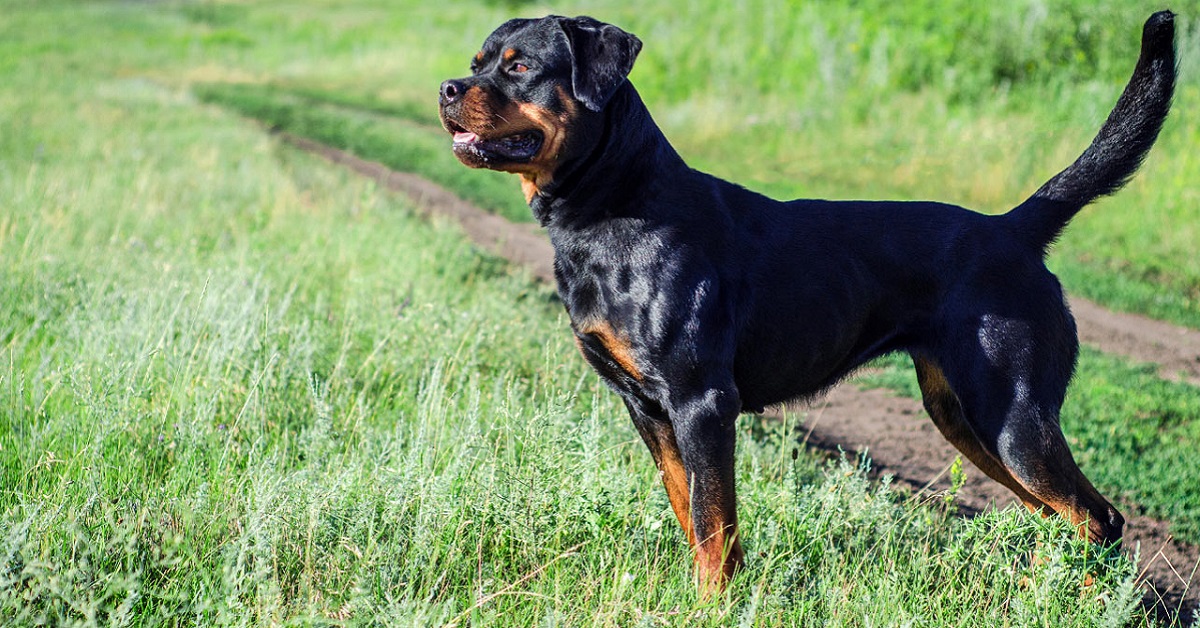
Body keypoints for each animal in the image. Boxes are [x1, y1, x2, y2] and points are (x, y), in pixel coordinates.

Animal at [436, 9, 1176, 593]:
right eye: (477, 64)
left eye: (520, 67)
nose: (446, 88)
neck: (612, 205)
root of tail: (1014, 229)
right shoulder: (646, 408)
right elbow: (691, 513)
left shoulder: (703, 401)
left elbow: (715, 523)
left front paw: (714, 604)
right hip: (966, 418)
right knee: (1062, 518)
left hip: (1013, 415)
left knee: (1100, 519)